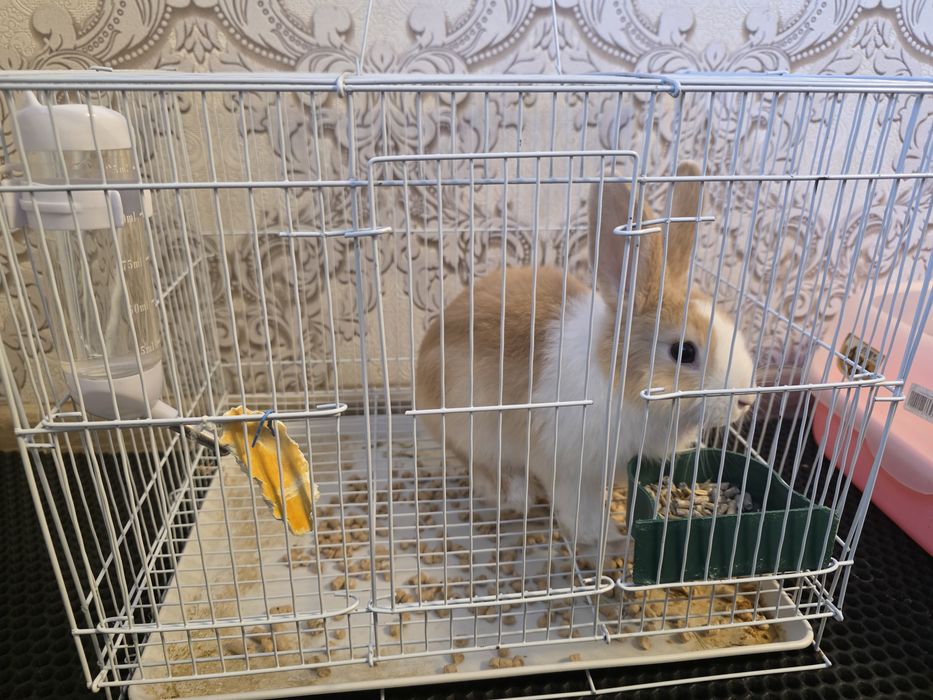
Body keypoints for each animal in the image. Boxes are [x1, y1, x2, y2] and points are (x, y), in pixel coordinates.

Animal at [415, 160, 756, 559]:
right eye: (683, 352)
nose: (746, 400)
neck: (618, 377)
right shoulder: (573, 471)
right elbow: (584, 516)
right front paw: (615, 542)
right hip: (474, 429)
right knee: (486, 471)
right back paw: (520, 497)